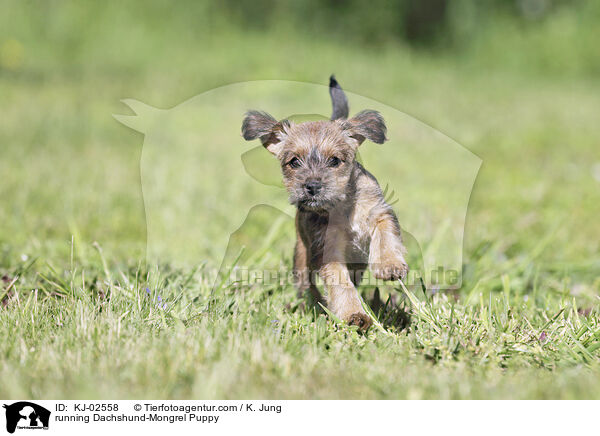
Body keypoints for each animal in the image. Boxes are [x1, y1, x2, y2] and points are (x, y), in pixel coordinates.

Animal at [240, 76, 408, 328]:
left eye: (335, 160)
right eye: (294, 162)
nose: (312, 186)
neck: (342, 207)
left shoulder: (380, 212)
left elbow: (385, 233)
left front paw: (389, 264)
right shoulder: (328, 249)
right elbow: (340, 282)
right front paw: (353, 315)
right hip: (301, 257)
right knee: (306, 285)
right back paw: (311, 304)